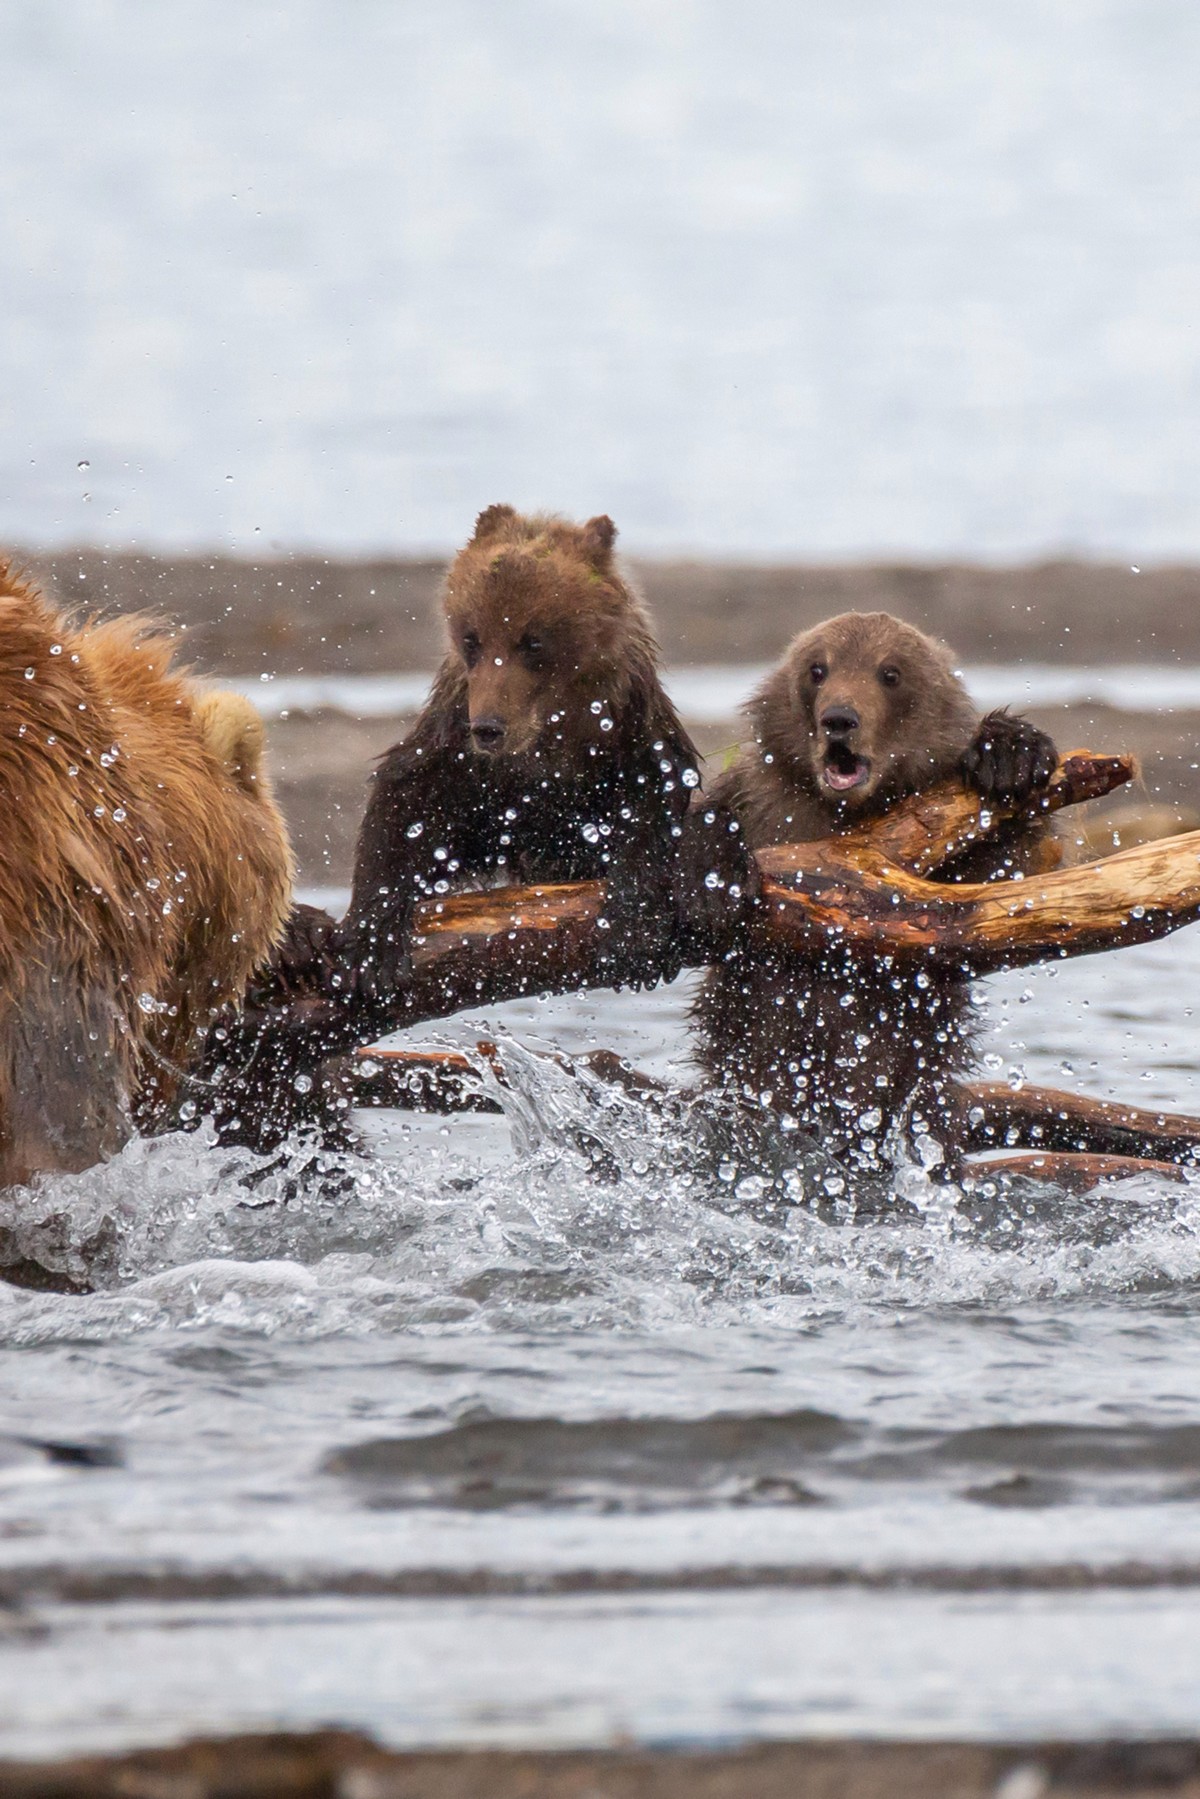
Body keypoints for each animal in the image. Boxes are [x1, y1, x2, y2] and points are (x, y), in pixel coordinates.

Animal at [323, 507, 744, 1007]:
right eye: (472, 637)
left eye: (533, 641)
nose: (489, 728)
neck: (549, 747)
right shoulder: (460, 752)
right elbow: (408, 806)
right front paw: (371, 950)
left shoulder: (632, 732)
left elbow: (651, 807)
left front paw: (633, 931)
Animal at [694, 611, 1057, 1180]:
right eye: (817, 668)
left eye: (891, 673)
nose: (839, 719)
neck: (850, 813)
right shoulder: (765, 799)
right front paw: (713, 869)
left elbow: (998, 878)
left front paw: (1011, 752)